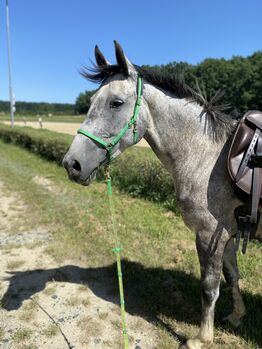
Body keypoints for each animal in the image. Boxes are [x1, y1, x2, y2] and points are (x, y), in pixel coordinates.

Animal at [62, 41, 260, 348]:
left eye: (116, 103)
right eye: (93, 99)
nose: (73, 164)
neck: (206, 157)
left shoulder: (209, 236)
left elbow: (209, 287)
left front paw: (201, 338)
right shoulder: (228, 233)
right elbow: (233, 277)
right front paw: (237, 315)